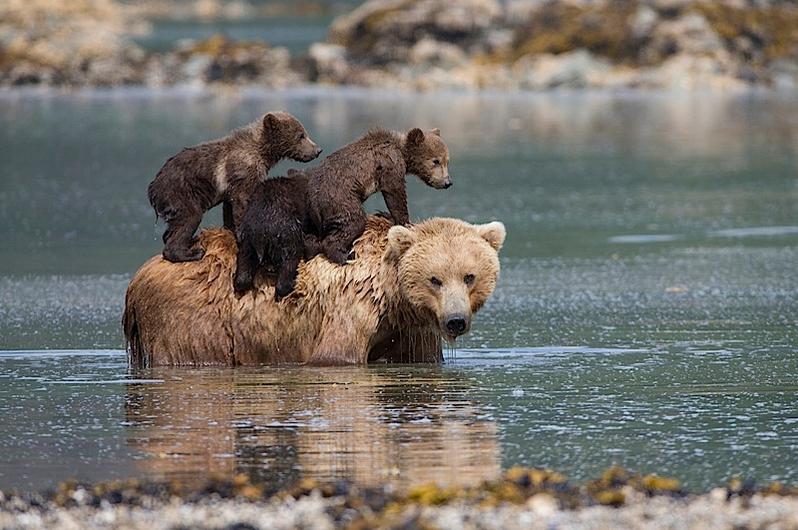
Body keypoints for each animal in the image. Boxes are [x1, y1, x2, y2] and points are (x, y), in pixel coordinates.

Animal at [123, 215, 505, 366]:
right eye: (435, 279)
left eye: (469, 276)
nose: (455, 320)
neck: (391, 296)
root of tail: (136, 280)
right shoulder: (352, 307)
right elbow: (336, 355)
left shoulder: (410, 330)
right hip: (191, 318)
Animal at [147, 111, 322, 263]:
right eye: (301, 135)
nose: (317, 150)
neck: (263, 151)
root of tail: (153, 187)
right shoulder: (244, 172)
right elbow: (241, 201)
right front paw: (243, 235)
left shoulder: (232, 186)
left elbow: (229, 208)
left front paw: (231, 231)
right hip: (181, 192)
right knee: (189, 218)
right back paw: (192, 252)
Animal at [303, 127, 453, 265]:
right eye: (436, 161)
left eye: (447, 160)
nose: (447, 182)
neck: (402, 154)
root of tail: (314, 202)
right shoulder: (389, 165)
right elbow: (395, 194)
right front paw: (406, 222)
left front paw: (386, 215)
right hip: (340, 199)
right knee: (353, 221)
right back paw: (344, 256)